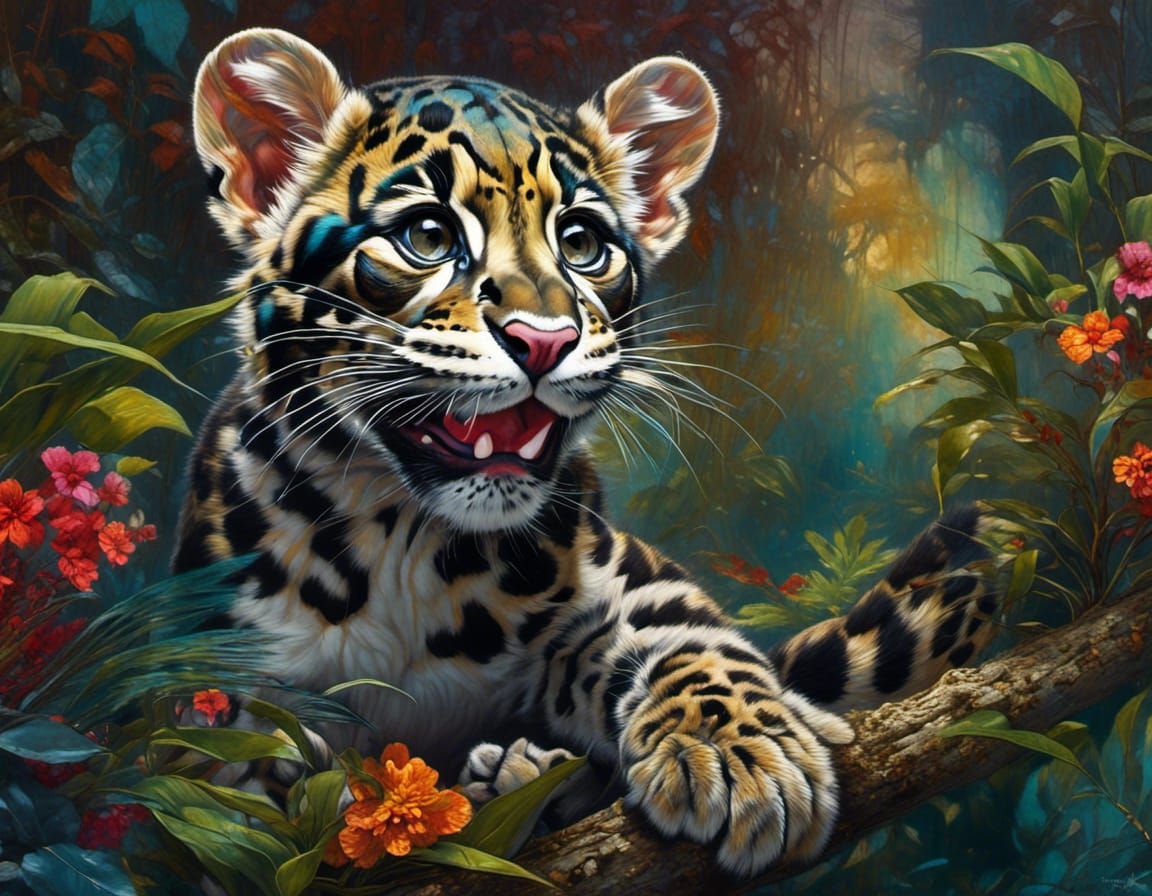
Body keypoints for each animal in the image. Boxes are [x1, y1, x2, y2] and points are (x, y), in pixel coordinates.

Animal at [176, 27, 1001, 878]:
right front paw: (333, 808)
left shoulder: (623, 576)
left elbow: (694, 645)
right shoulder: (216, 679)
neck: (402, 542)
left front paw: (747, 757)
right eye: (427, 237)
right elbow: (239, 782)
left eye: (581, 244)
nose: (545, 340)